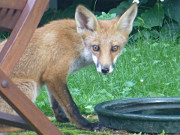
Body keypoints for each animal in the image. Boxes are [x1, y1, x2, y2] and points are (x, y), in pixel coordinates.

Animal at [0, 2, 138, 132]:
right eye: (95, 47)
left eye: (114, 48)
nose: (105, 69)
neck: (76, 44)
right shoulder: (55, 74)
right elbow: (71, 106)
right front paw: (87, 125)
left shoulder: (49, 78)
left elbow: (56, 105)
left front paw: (61, 119)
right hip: (29, 86)